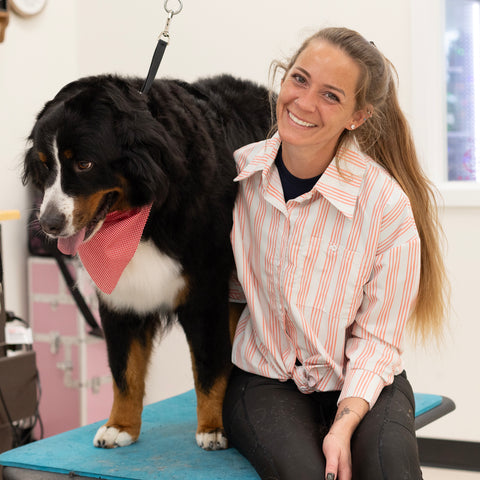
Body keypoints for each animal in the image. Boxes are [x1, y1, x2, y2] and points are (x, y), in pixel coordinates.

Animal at [23, 74, 274, 450]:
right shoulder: (118, 298)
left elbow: (209, 365)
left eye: (84, 164)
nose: (49, 222)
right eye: (45, 164)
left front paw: (213, 427)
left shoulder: (205, 293)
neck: (144, 219)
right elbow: (124, 370)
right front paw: (120, 426)